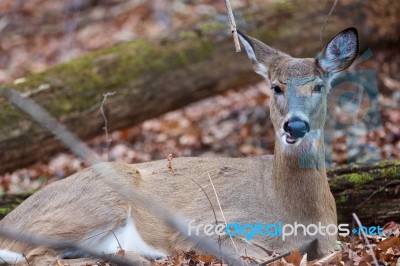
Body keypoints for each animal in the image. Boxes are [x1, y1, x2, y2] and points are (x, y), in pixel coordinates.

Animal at [0, 27, 360, 264]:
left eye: (319, 86)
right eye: (276, 87)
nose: (295, 125)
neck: (295, 211)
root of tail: (8, 221)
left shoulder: (331, 239)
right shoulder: (204, 225)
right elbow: (253, 256)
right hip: (98, 199)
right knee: (38, 255)